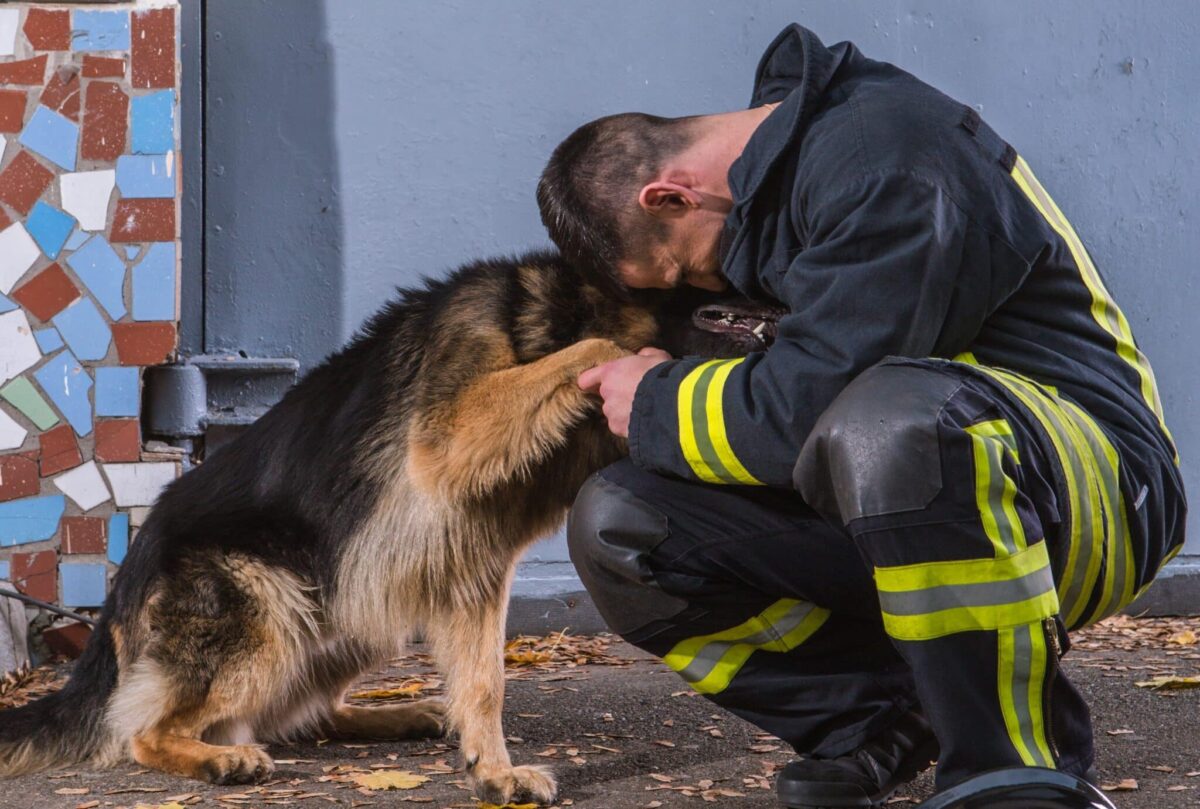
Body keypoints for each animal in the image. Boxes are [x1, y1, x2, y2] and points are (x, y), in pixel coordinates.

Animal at [0, 248, 777, 801]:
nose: (791, 298)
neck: (563, 313)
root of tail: (118, 601)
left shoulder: (475, 571)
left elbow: (486, 681)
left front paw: (493, 768)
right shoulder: (454, 431)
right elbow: (597, 353)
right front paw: (627, 358)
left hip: (359, 606)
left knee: (306, 712)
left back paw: (400, 713)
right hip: (271, 604)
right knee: (143, 730)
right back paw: (220, 758)